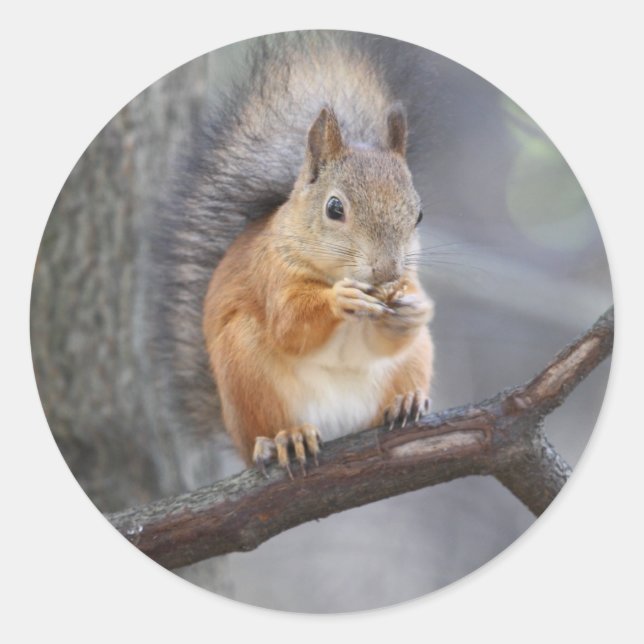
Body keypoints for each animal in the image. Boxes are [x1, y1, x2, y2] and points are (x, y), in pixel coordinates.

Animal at [149, 32, 435, 475]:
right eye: (334, 208)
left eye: (418, 214)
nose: (386, 271)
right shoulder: (271, 273)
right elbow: (289, 322)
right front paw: (339, 299)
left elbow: (386, 339)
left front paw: (413, 309)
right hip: (247, 370)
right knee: (267, 428)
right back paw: (286, 439)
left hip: (414, 360)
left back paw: (404, 402)